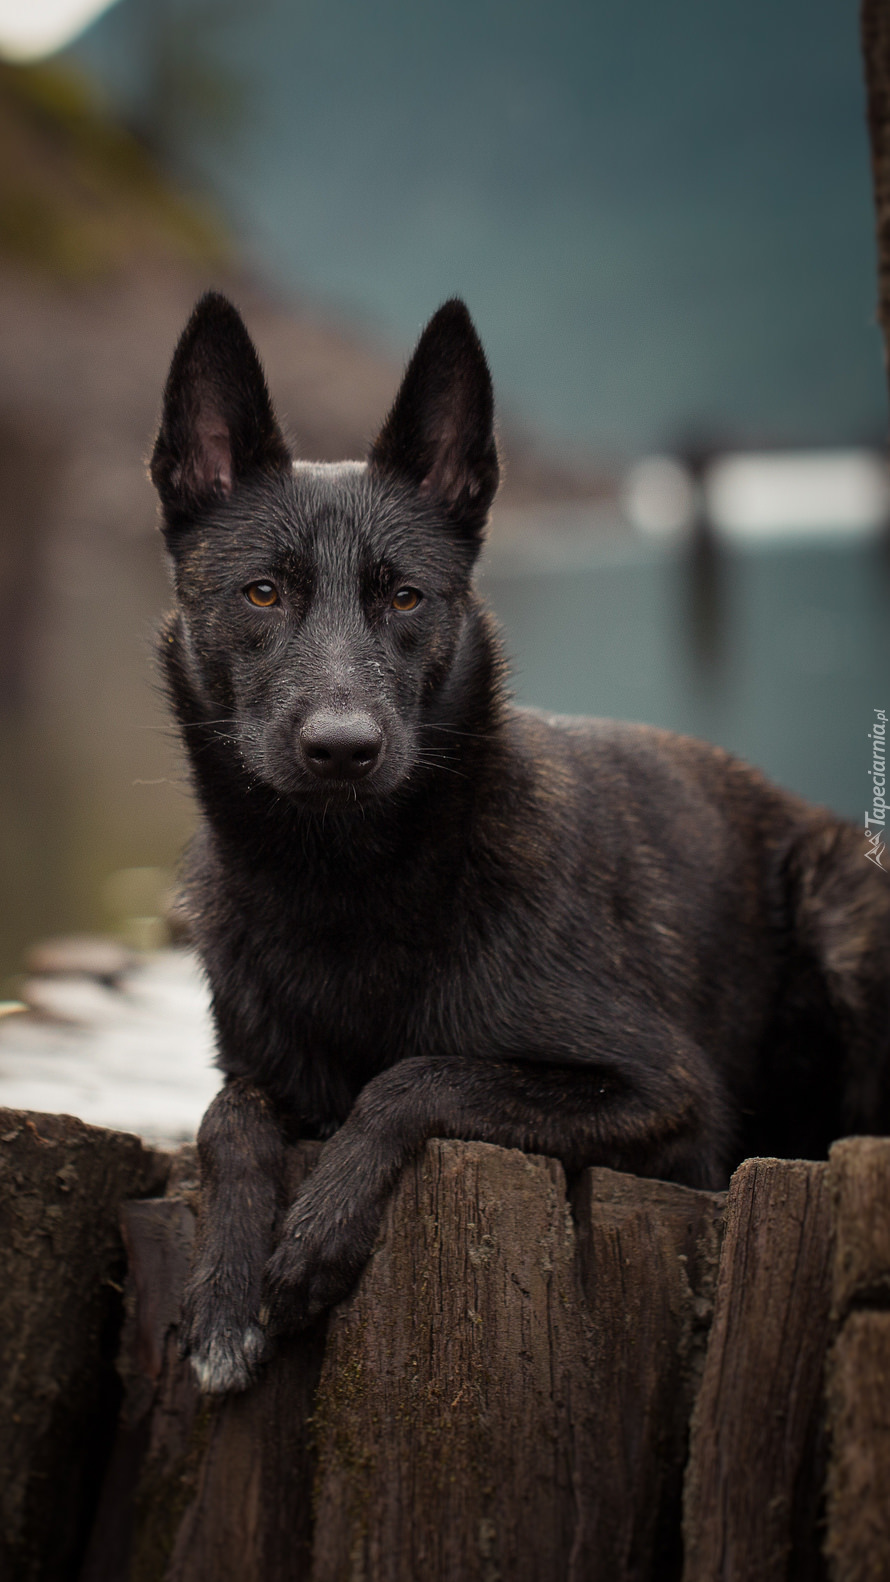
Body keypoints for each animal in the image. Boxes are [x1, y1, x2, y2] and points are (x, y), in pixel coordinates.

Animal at [149, 291, 885, 1392]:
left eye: (405, 596)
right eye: (262, 594)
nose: (342, 750)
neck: (347, 887)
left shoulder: (665, 1099)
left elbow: (416, 1075)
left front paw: (319, 1228)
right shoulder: (261, 1074)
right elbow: (226, 1113)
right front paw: (227, 1292)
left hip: (845, 923)